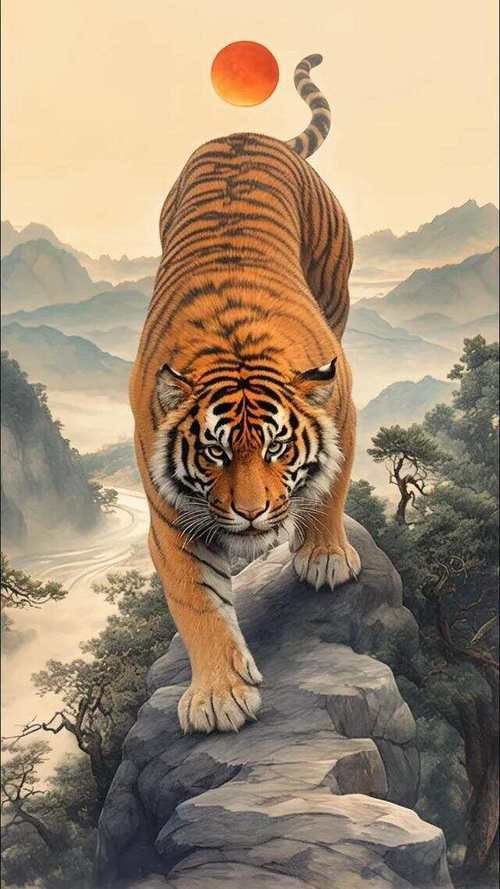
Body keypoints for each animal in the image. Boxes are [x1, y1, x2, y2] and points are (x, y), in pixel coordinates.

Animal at [129, 53, 360, 735]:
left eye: (279, 448)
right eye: (215, 453)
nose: (254, 514)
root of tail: (248, 132)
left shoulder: (342, 408)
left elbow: (331, 485)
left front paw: (324, 557)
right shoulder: (167, 511)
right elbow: (196, 599)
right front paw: (218, 697)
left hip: (336, 284)